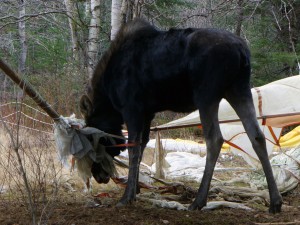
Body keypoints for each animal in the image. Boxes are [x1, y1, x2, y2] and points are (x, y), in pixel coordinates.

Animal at [79, 18, 282, 213]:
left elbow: (133, 148)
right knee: (257, 135)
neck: (108, 96)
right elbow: (142, 145)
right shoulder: (148, 112)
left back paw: (198, 201)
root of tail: (242, 52)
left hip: (206, 94)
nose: (98, 175)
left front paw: (127, 196)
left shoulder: (132, 108)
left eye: (92, 140)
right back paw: (275, 202)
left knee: (215, 138)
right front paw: (135, 189)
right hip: (238, 89)